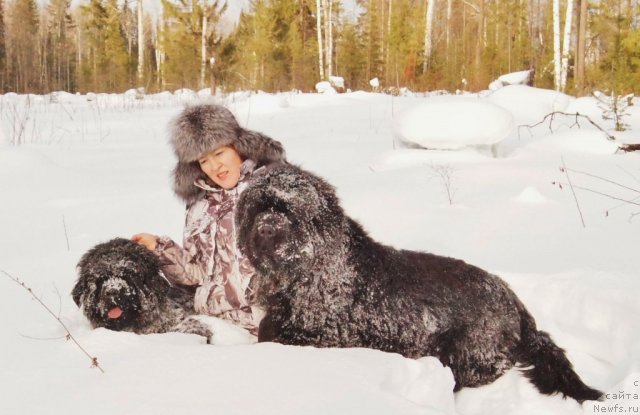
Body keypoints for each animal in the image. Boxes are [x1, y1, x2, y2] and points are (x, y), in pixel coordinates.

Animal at [236, 164, 604, 404]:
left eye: (287, 209)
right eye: (257, 208)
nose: (266, 229)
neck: (308, 272)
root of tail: (515, 303)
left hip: (468, 351)